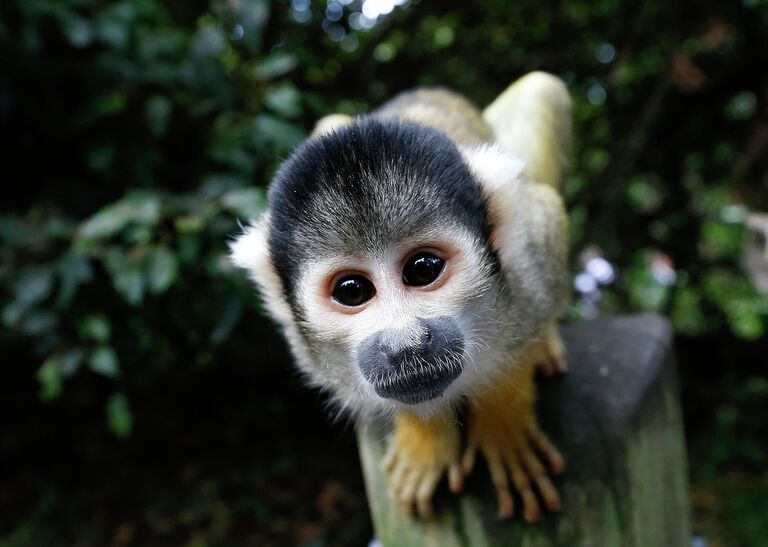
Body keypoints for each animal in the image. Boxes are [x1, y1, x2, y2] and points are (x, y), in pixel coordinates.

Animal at [231, 71, 572, 524]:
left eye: (423, 269)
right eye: (352, 291)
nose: (403, 345)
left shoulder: (531, 260)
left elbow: (545, 216)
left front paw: (503, 423)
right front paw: (425, 439)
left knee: (540, 87)